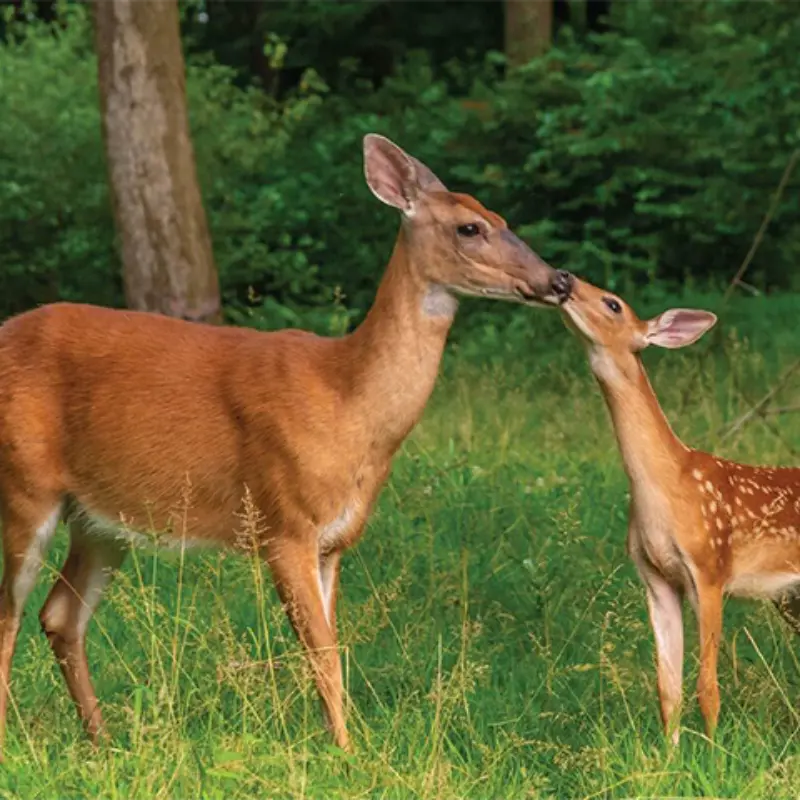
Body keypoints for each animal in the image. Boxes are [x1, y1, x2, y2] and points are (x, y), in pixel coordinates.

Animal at [0, 134, 573, 755]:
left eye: (504, 218)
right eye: (471, 227)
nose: (560, 280)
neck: (347, 400)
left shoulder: (333, 543)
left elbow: (331, 645)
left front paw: (336, 740)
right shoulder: (285, 521)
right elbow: (321, 649)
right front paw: (348, 751)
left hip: (101, 521)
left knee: (61, 616)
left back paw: (103, 740)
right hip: (24, 487)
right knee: (10, 613)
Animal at [560, 277, 800, 745]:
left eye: (613, 304)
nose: (563, 280)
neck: (667, 486)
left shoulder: (709, 568)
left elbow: (707, 687)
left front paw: (713, 753)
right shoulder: (656, 579)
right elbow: (667, 689)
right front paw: (671, 756)